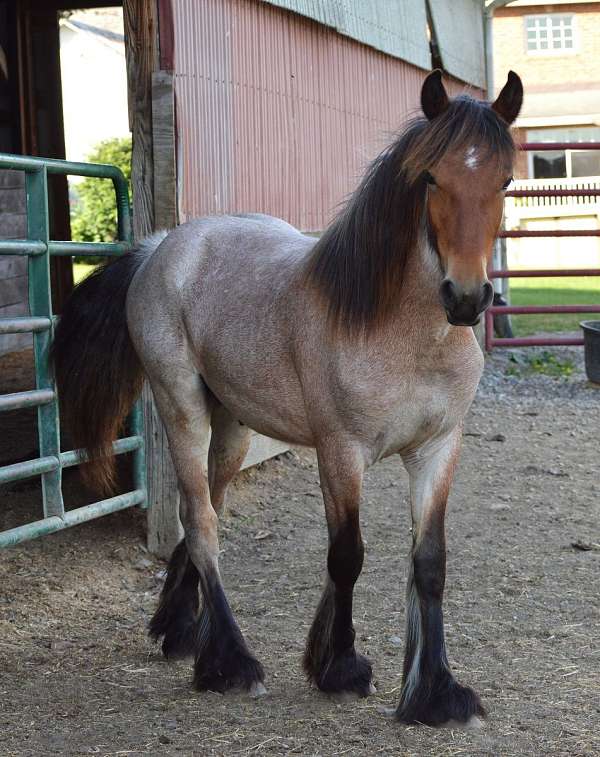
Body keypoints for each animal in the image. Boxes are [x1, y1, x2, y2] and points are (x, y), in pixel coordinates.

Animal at [51, 69, 523, 727]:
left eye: (504, 179)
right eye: (431, 176)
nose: (467, 297)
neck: (401, 331)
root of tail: (160, 247)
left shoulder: (438, 449)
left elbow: (430, 562)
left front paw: (436, 692)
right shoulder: (340, 453)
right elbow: (346, 555)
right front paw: (340, 668)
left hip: (232, 428)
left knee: (205, 510)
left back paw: (179, 630)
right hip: (181, 408)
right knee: (201, 521)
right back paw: (229, 663)